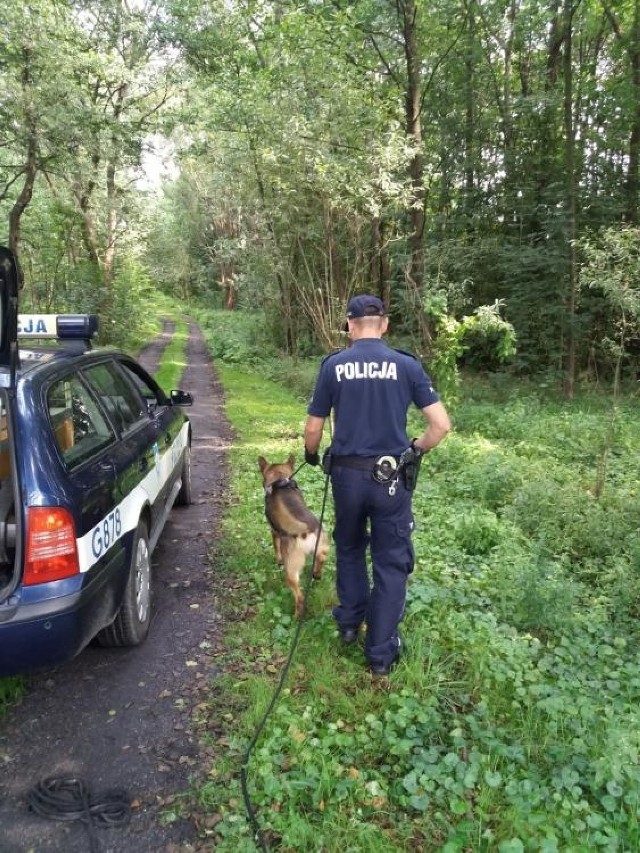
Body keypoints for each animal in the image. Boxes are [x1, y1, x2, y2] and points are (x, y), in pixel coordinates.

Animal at [258, 456, 330, 616]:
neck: (280, 480)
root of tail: (306, 531)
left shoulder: (274, 532)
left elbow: (276, 548)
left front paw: (278, 560)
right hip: (321, 546)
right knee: (321, 558)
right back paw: (316, 574)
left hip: (291, 571)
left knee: (300, 597)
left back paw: (296, 615)